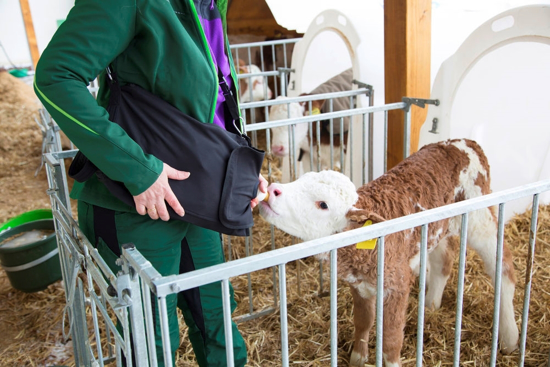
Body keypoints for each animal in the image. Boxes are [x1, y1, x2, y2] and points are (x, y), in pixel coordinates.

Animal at [258, 139, 516, 366]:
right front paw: (358, 357)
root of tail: (466, 143)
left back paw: (510, 337)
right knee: (444, 259)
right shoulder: (360, 284)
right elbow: (363, 320)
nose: (273, 188)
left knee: (503, 266)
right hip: (440, 226)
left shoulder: (397, 285)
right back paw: (431, 305)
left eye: (323, 204)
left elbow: (391, 340)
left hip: (480, 218)